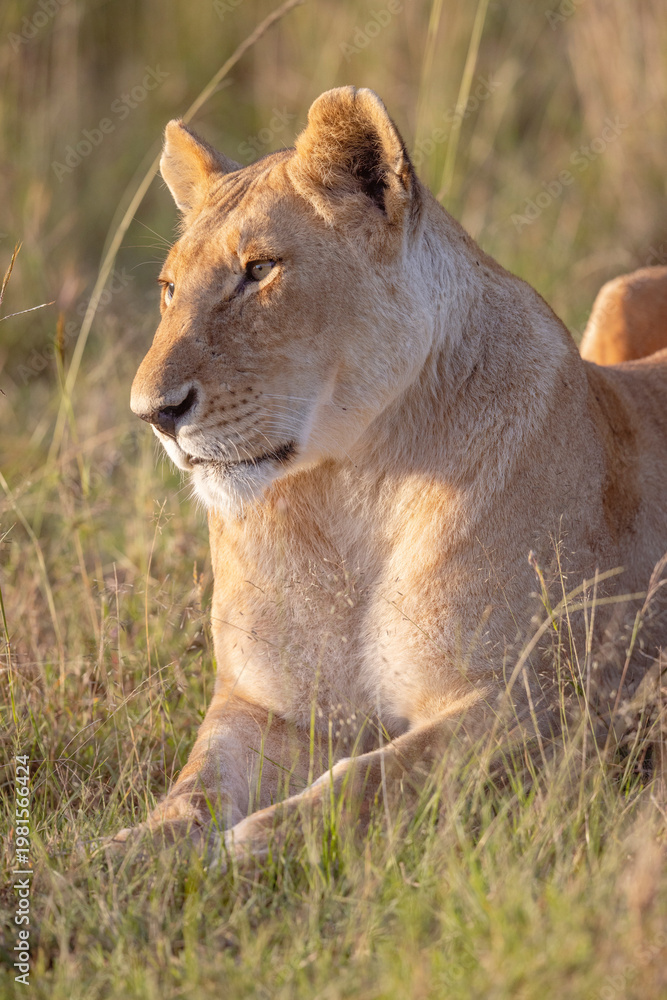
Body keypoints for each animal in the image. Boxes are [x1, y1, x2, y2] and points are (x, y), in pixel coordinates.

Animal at [122, 87, 667, 860]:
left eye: (259, 270)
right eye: (169, 287)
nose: (153, 413)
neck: (348, 491)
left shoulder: (541, 710)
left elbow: (366, 783)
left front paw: (245, 852)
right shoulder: (265, 707)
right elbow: (193, 789)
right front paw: (124, 856)